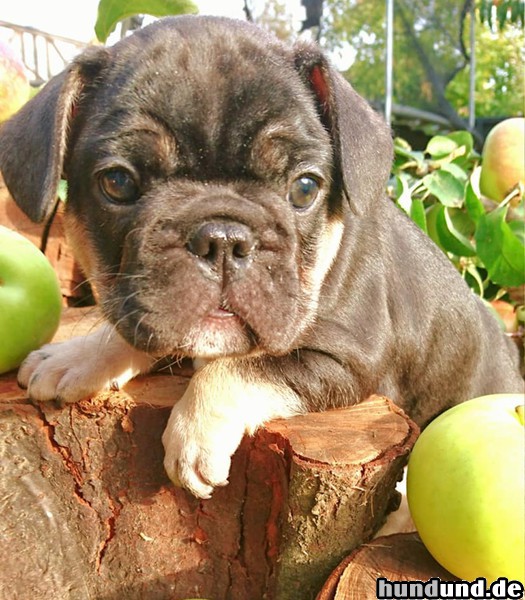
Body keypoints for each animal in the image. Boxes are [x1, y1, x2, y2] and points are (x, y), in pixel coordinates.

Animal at [1, 17, 520, 496]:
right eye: (118, 182)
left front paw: (193, 435)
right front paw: (77, 356)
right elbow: (133, 327)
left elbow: (245, 366)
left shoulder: (347, 359)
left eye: (305, 188)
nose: (222, 238)